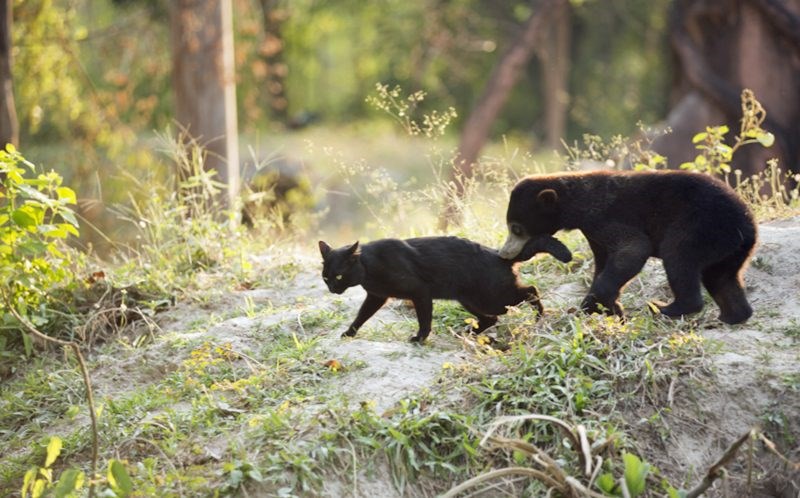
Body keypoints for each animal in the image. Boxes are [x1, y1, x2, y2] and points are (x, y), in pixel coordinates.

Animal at [316, 235, 572, 344]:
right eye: (326, 278)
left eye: (338, 276)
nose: (332, 289)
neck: (369, 266)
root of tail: (498, 254)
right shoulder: (377, 297)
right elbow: (361, 316)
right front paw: (349, 333)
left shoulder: (420, 292)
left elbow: (424, 319)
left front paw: (420, 338)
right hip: (470, 299)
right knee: (491, 319)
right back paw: (467, 333)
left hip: (493, 297)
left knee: (531, 290)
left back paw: (540, 316)